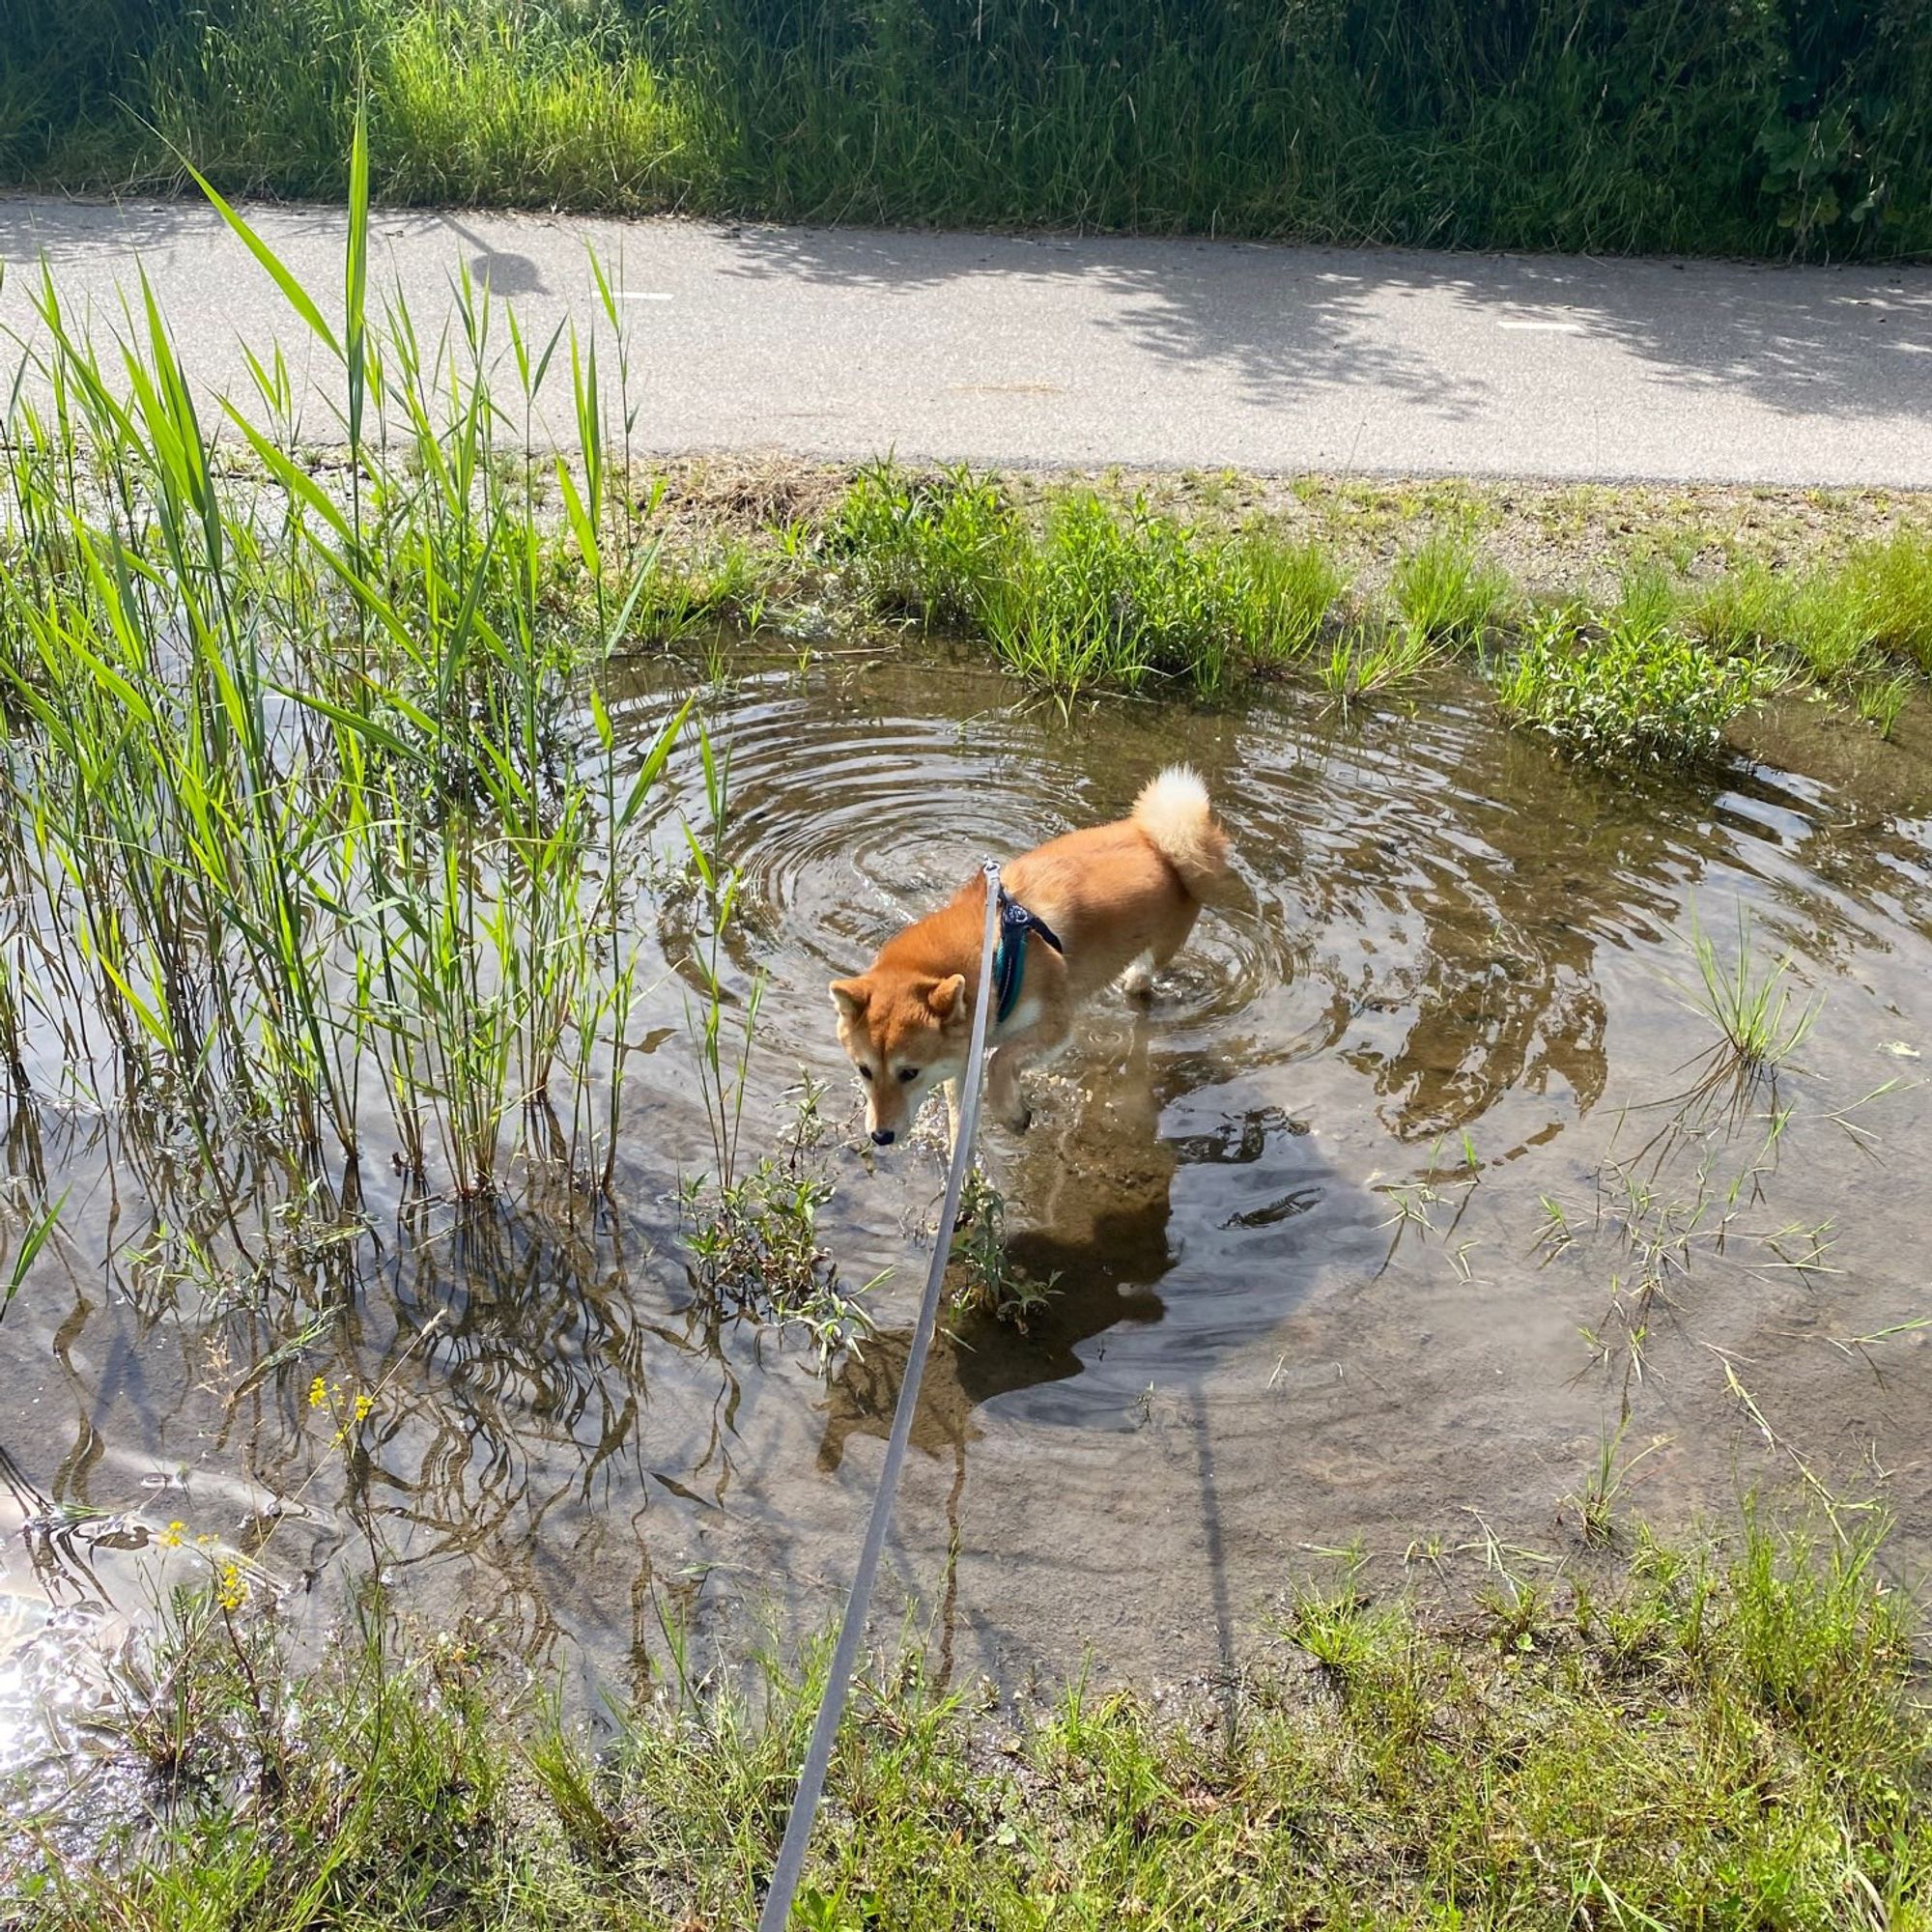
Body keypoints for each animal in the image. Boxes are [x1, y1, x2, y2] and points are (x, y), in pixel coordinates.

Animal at [827, 769, 1221, 1151]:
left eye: (908, 1072)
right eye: (864, 1070)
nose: (880, 1136)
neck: (994, 955)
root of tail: (1157, 845)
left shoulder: (1055, 1024)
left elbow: (1001, 1059)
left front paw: (1011, 1114)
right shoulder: (964, 1058)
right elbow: (961, 1121)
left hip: (1156, 952)